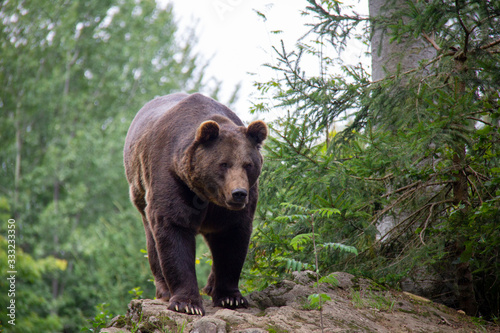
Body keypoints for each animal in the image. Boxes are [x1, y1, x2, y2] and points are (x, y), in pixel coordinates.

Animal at [123, 92, 268, 314]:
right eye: (223, 164)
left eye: (248, 164)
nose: (239, 193)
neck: (207, 193)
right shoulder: (173, 178)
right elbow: (174, 230)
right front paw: (187, 304)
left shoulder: (233, 207)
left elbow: (232, 239)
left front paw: (231, 298)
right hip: (139, 190)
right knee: (152, 242)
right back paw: (165, 290)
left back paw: (210, 285)